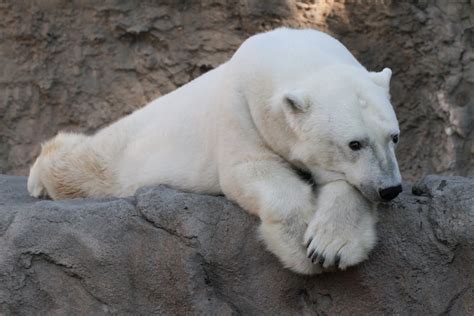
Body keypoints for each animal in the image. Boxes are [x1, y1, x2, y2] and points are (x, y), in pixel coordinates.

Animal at [27, 27, 402, 274]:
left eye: (394, 137)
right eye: (354, 143)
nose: (391, 189)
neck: (292, 51)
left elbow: (348, 188)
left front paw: (329, 246)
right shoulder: (241, 108)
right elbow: (249, 169)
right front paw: (300, 247)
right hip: (129, 149)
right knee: (85, 168)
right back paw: (40, 176)